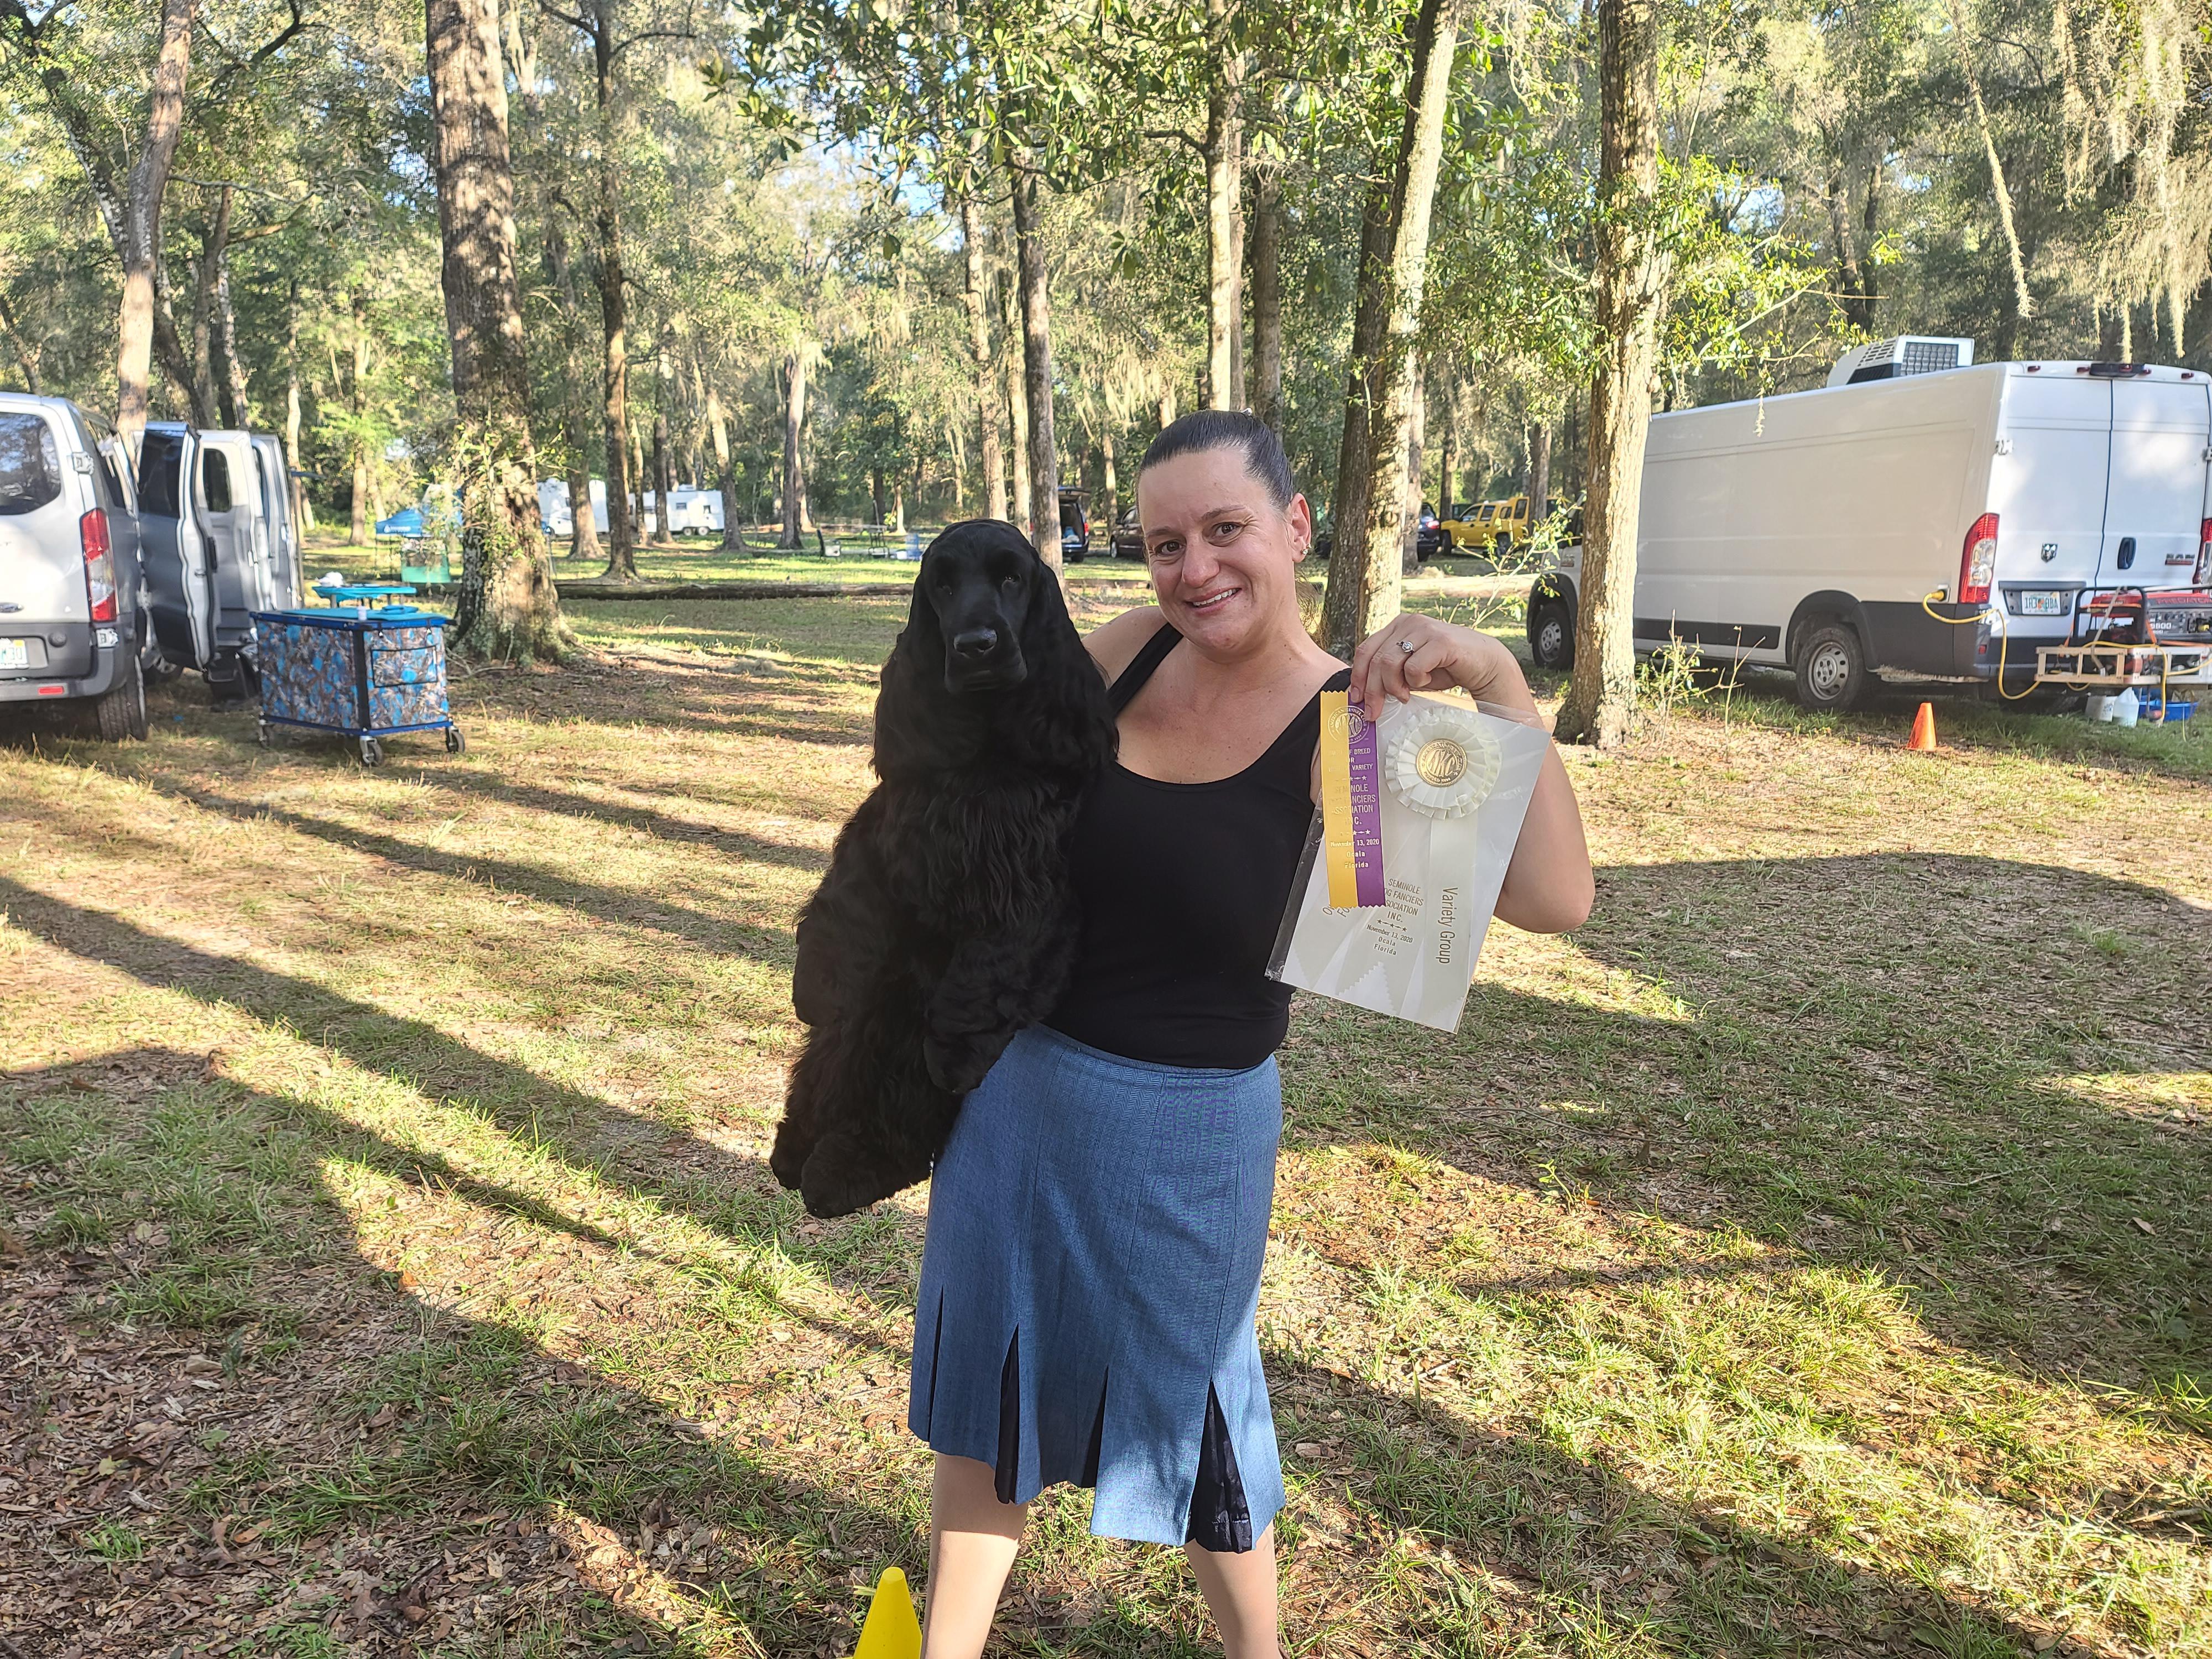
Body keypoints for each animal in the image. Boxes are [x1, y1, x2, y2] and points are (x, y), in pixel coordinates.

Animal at [770, 520, 1117, 1218]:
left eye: (1011, 578)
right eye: (943, 586)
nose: (977, 645)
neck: (980, 755)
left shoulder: (1034, 886)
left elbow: (991, 968)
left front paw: (957, 1050)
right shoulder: (884, 827)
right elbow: (843, 907)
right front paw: (814, 989)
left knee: (899, 1113)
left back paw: (836, 1174)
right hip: (868, 1019)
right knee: (832, 1064)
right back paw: (797, 1154)